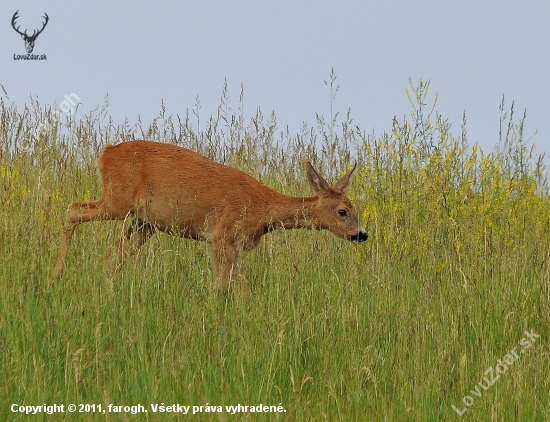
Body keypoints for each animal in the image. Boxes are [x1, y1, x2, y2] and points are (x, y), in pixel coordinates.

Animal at [54, 141, 368, 296]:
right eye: (342, 211)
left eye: (355, 209)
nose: (362, 234)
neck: (263, 209)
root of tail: (105, 154)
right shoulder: (223, 235)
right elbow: (237, 287)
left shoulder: (226, 243)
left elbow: (222, 285)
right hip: (118, 200)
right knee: (73, 209)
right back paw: (56, 274)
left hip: (145, 222)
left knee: (112, 254)